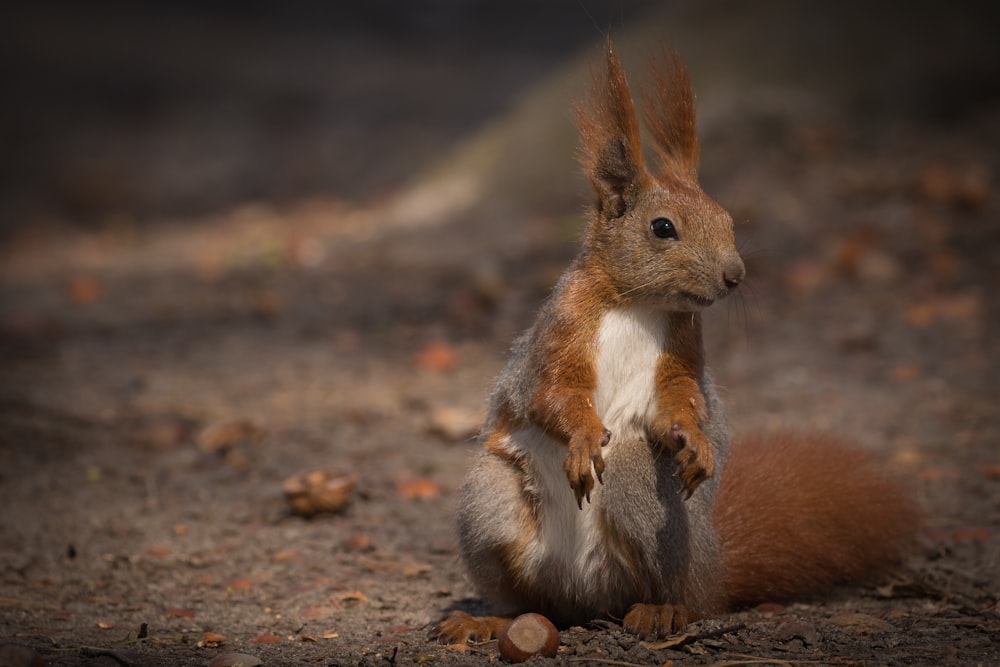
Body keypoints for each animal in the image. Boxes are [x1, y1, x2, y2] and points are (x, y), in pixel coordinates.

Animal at [434, 43, 916, 648]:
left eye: (728, 219)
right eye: (662, 228)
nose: (735, 276)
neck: (636, 305)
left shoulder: (684, 349)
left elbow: (679, 398)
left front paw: (697, 439)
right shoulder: (558, 335)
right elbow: (553, 394)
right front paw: (585, 435)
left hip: (652, 502)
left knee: (679, 589)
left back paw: (661, 612)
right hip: (490, 503)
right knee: (530, 598)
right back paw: (487, 619)